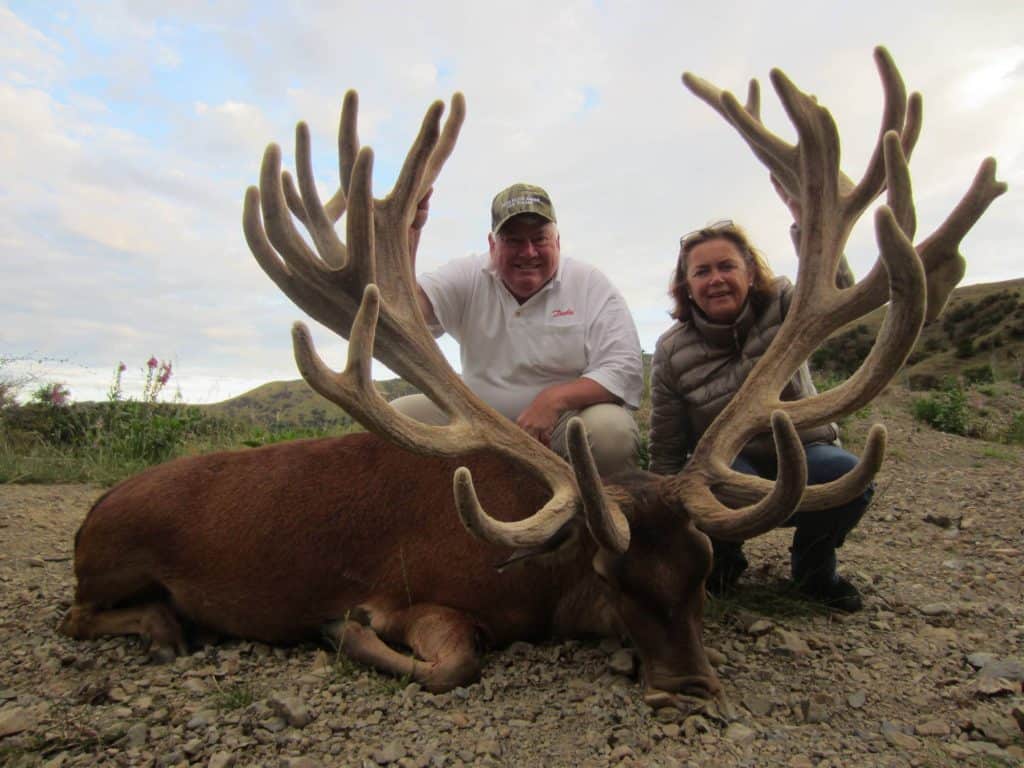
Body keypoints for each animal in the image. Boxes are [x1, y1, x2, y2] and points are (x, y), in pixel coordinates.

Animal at [59, 47, 1003, 713]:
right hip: (106, 567)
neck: (543, 582)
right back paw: (163, 628)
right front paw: (343, 631)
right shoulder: (420, 593)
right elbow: (449, 665)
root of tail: (90, 514)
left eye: (704, 569)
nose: (690, 690)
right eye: (613, 575)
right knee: (78, 615)